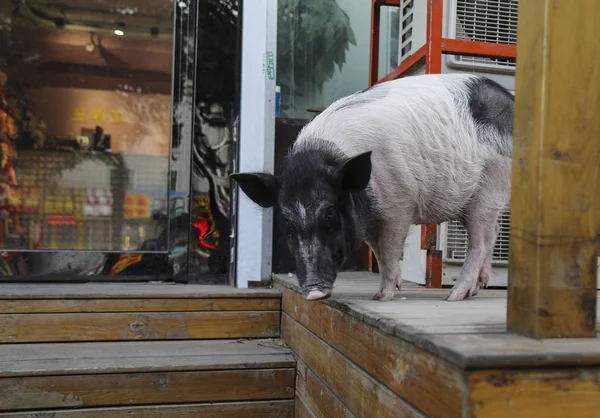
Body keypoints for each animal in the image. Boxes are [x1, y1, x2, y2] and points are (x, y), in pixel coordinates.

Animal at [232, 73, 512, 302]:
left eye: (330, 215)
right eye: (287, 225)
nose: (313, 293)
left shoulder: (399, 205)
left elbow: (388, 250)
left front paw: (382, 297)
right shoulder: (368, 219)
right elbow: (377, 251)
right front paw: (389, 289)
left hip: (490, 186)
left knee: (480, 243)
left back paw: (454, 296)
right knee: (493, 233)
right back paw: (478, 288)